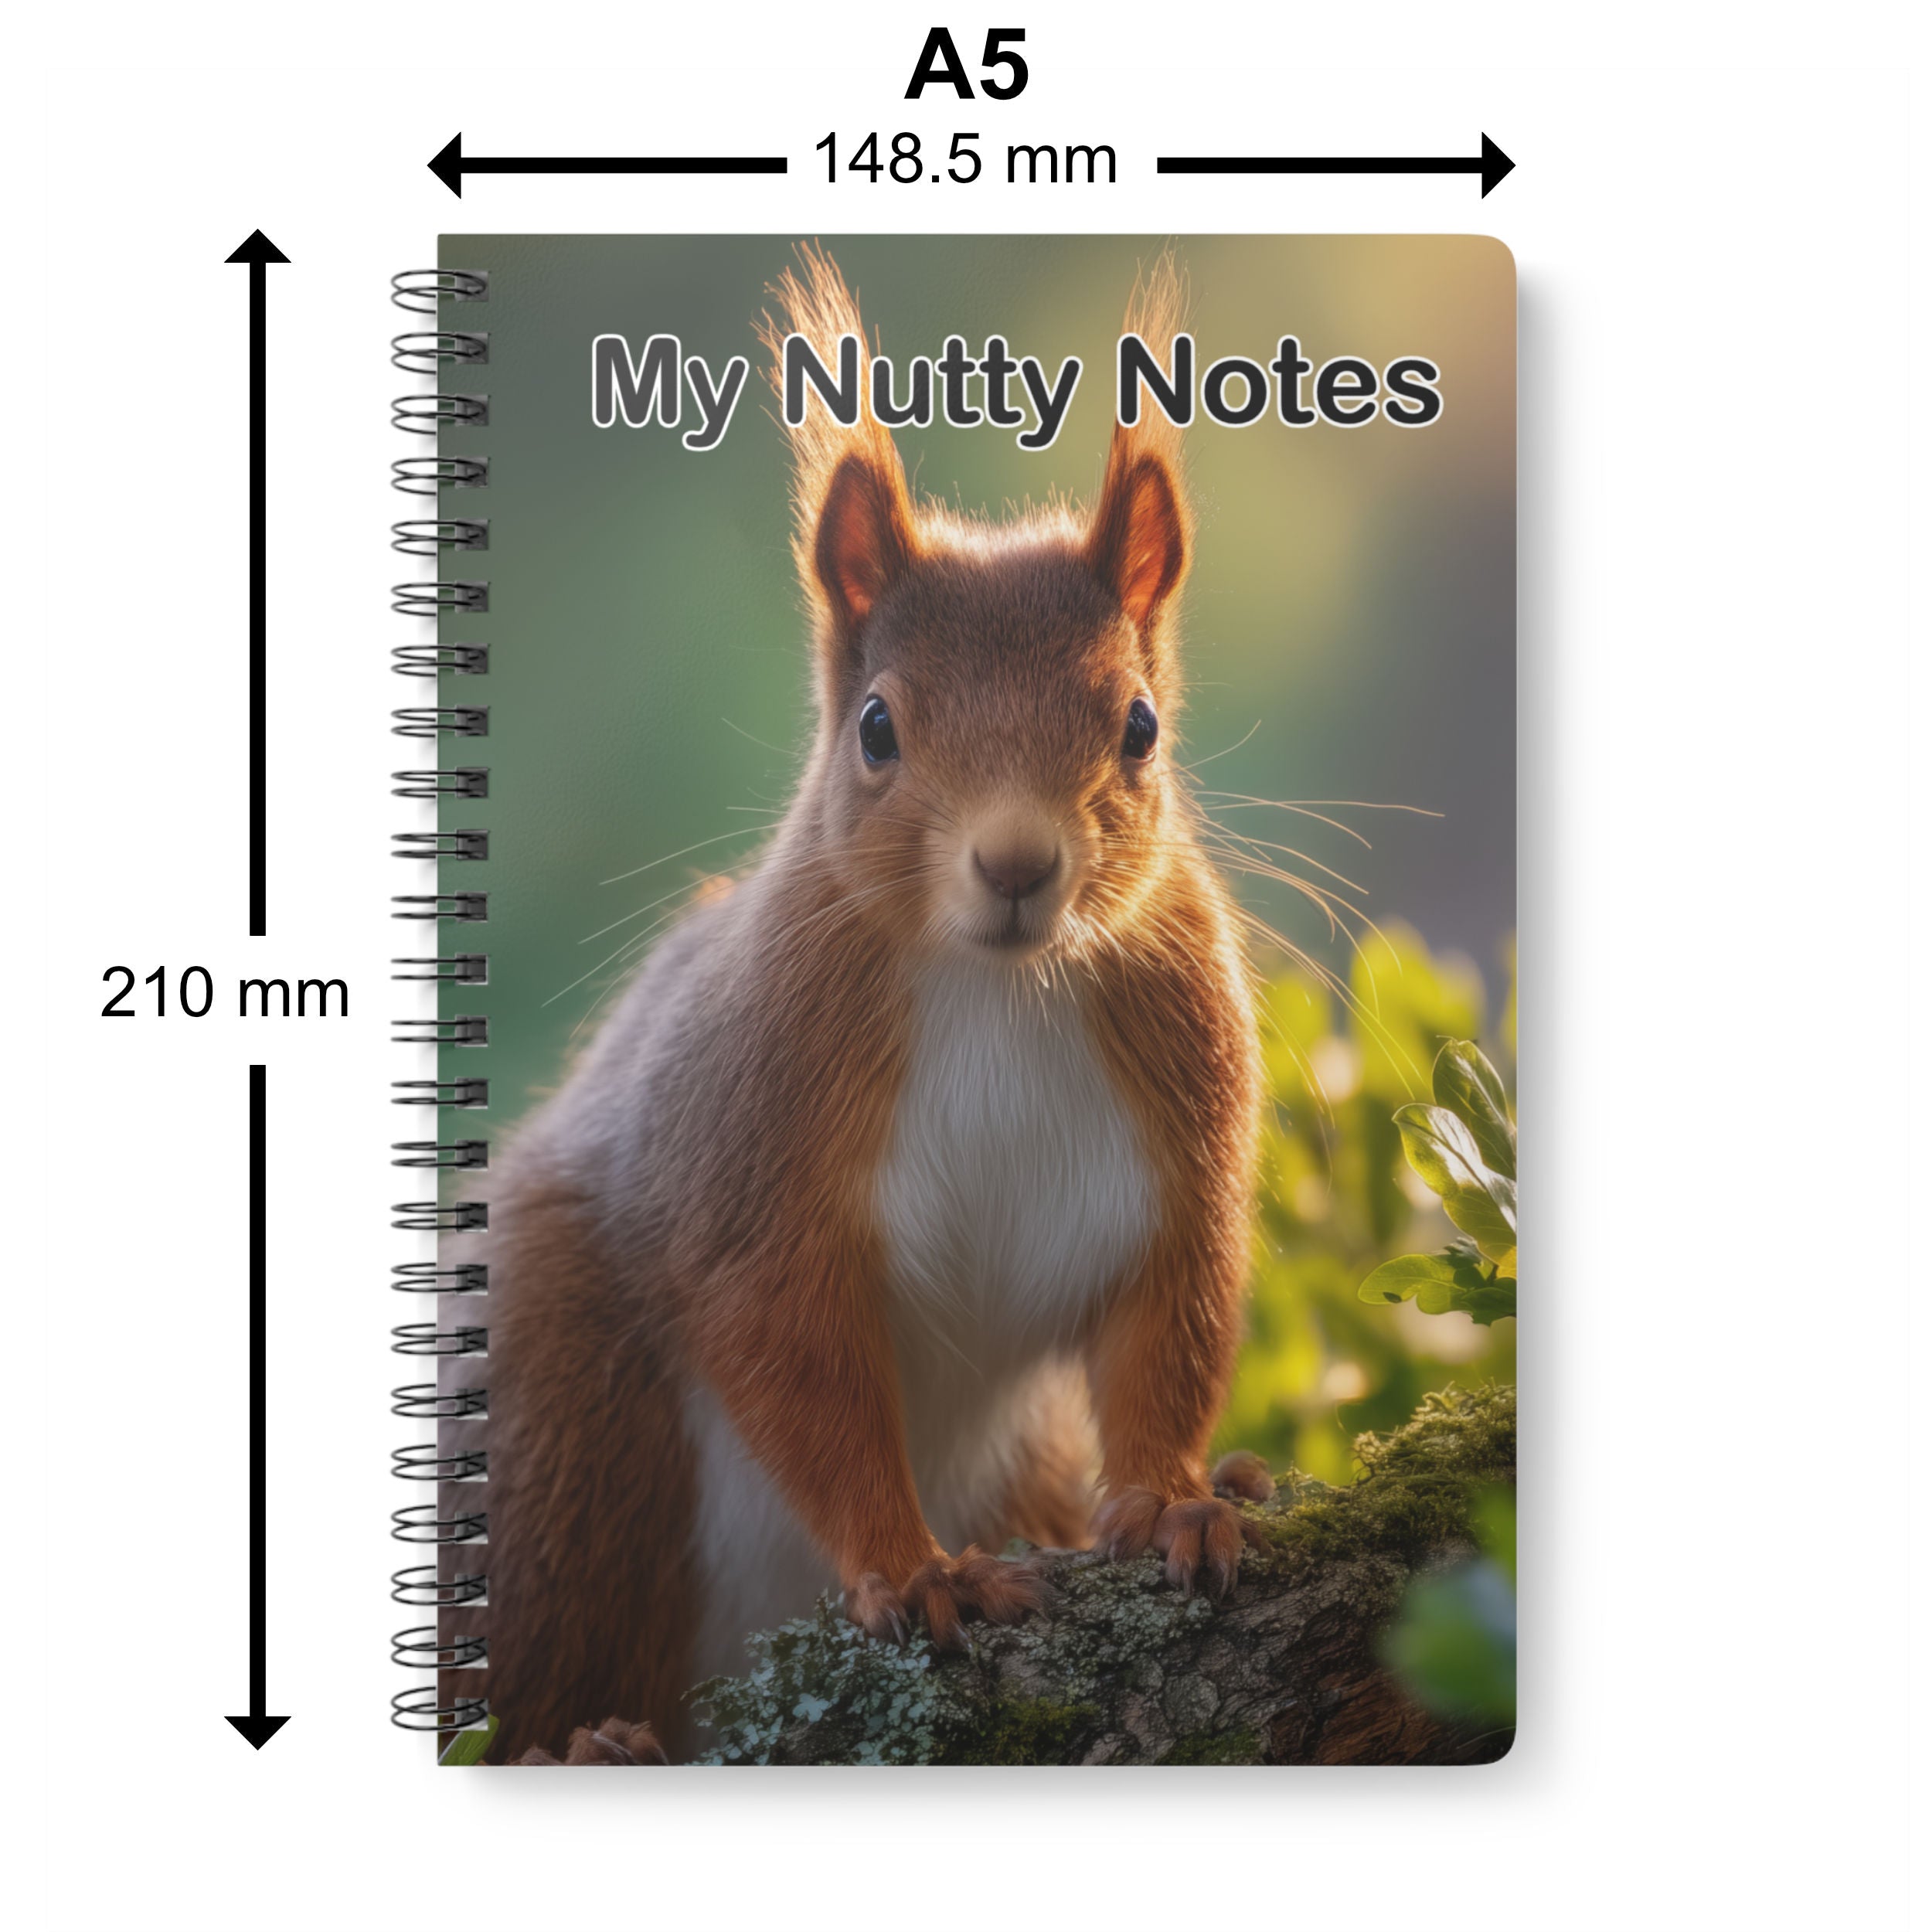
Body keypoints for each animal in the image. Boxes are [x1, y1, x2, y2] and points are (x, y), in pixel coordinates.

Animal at [442, 248, 1267, 1764]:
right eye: (877, 728)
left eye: (1140, 728)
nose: (1017, 865)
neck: (996, 989)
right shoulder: (756, 1147)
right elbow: (795, 1362)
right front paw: (915, 1570)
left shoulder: (1177, 1119)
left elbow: (1168, 1320)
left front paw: (1179, 1497)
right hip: (564, 1428)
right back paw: (590, 1738)